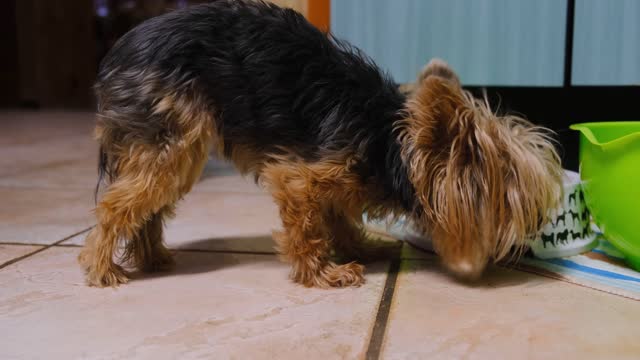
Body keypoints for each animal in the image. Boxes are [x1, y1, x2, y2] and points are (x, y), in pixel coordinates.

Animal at [79, 0, 560, 286]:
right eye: (512, 201)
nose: (537, 226)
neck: (389, 144)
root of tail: (114, 54)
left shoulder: (338, 181)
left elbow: (339, 214)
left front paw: (361, 247)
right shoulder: (298, 178)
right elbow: (307, 225)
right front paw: (324, 272)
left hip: (171, 145)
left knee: (148, 205)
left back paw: (152, 258)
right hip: (173, 140)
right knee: (117, 205)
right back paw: (101, 267)